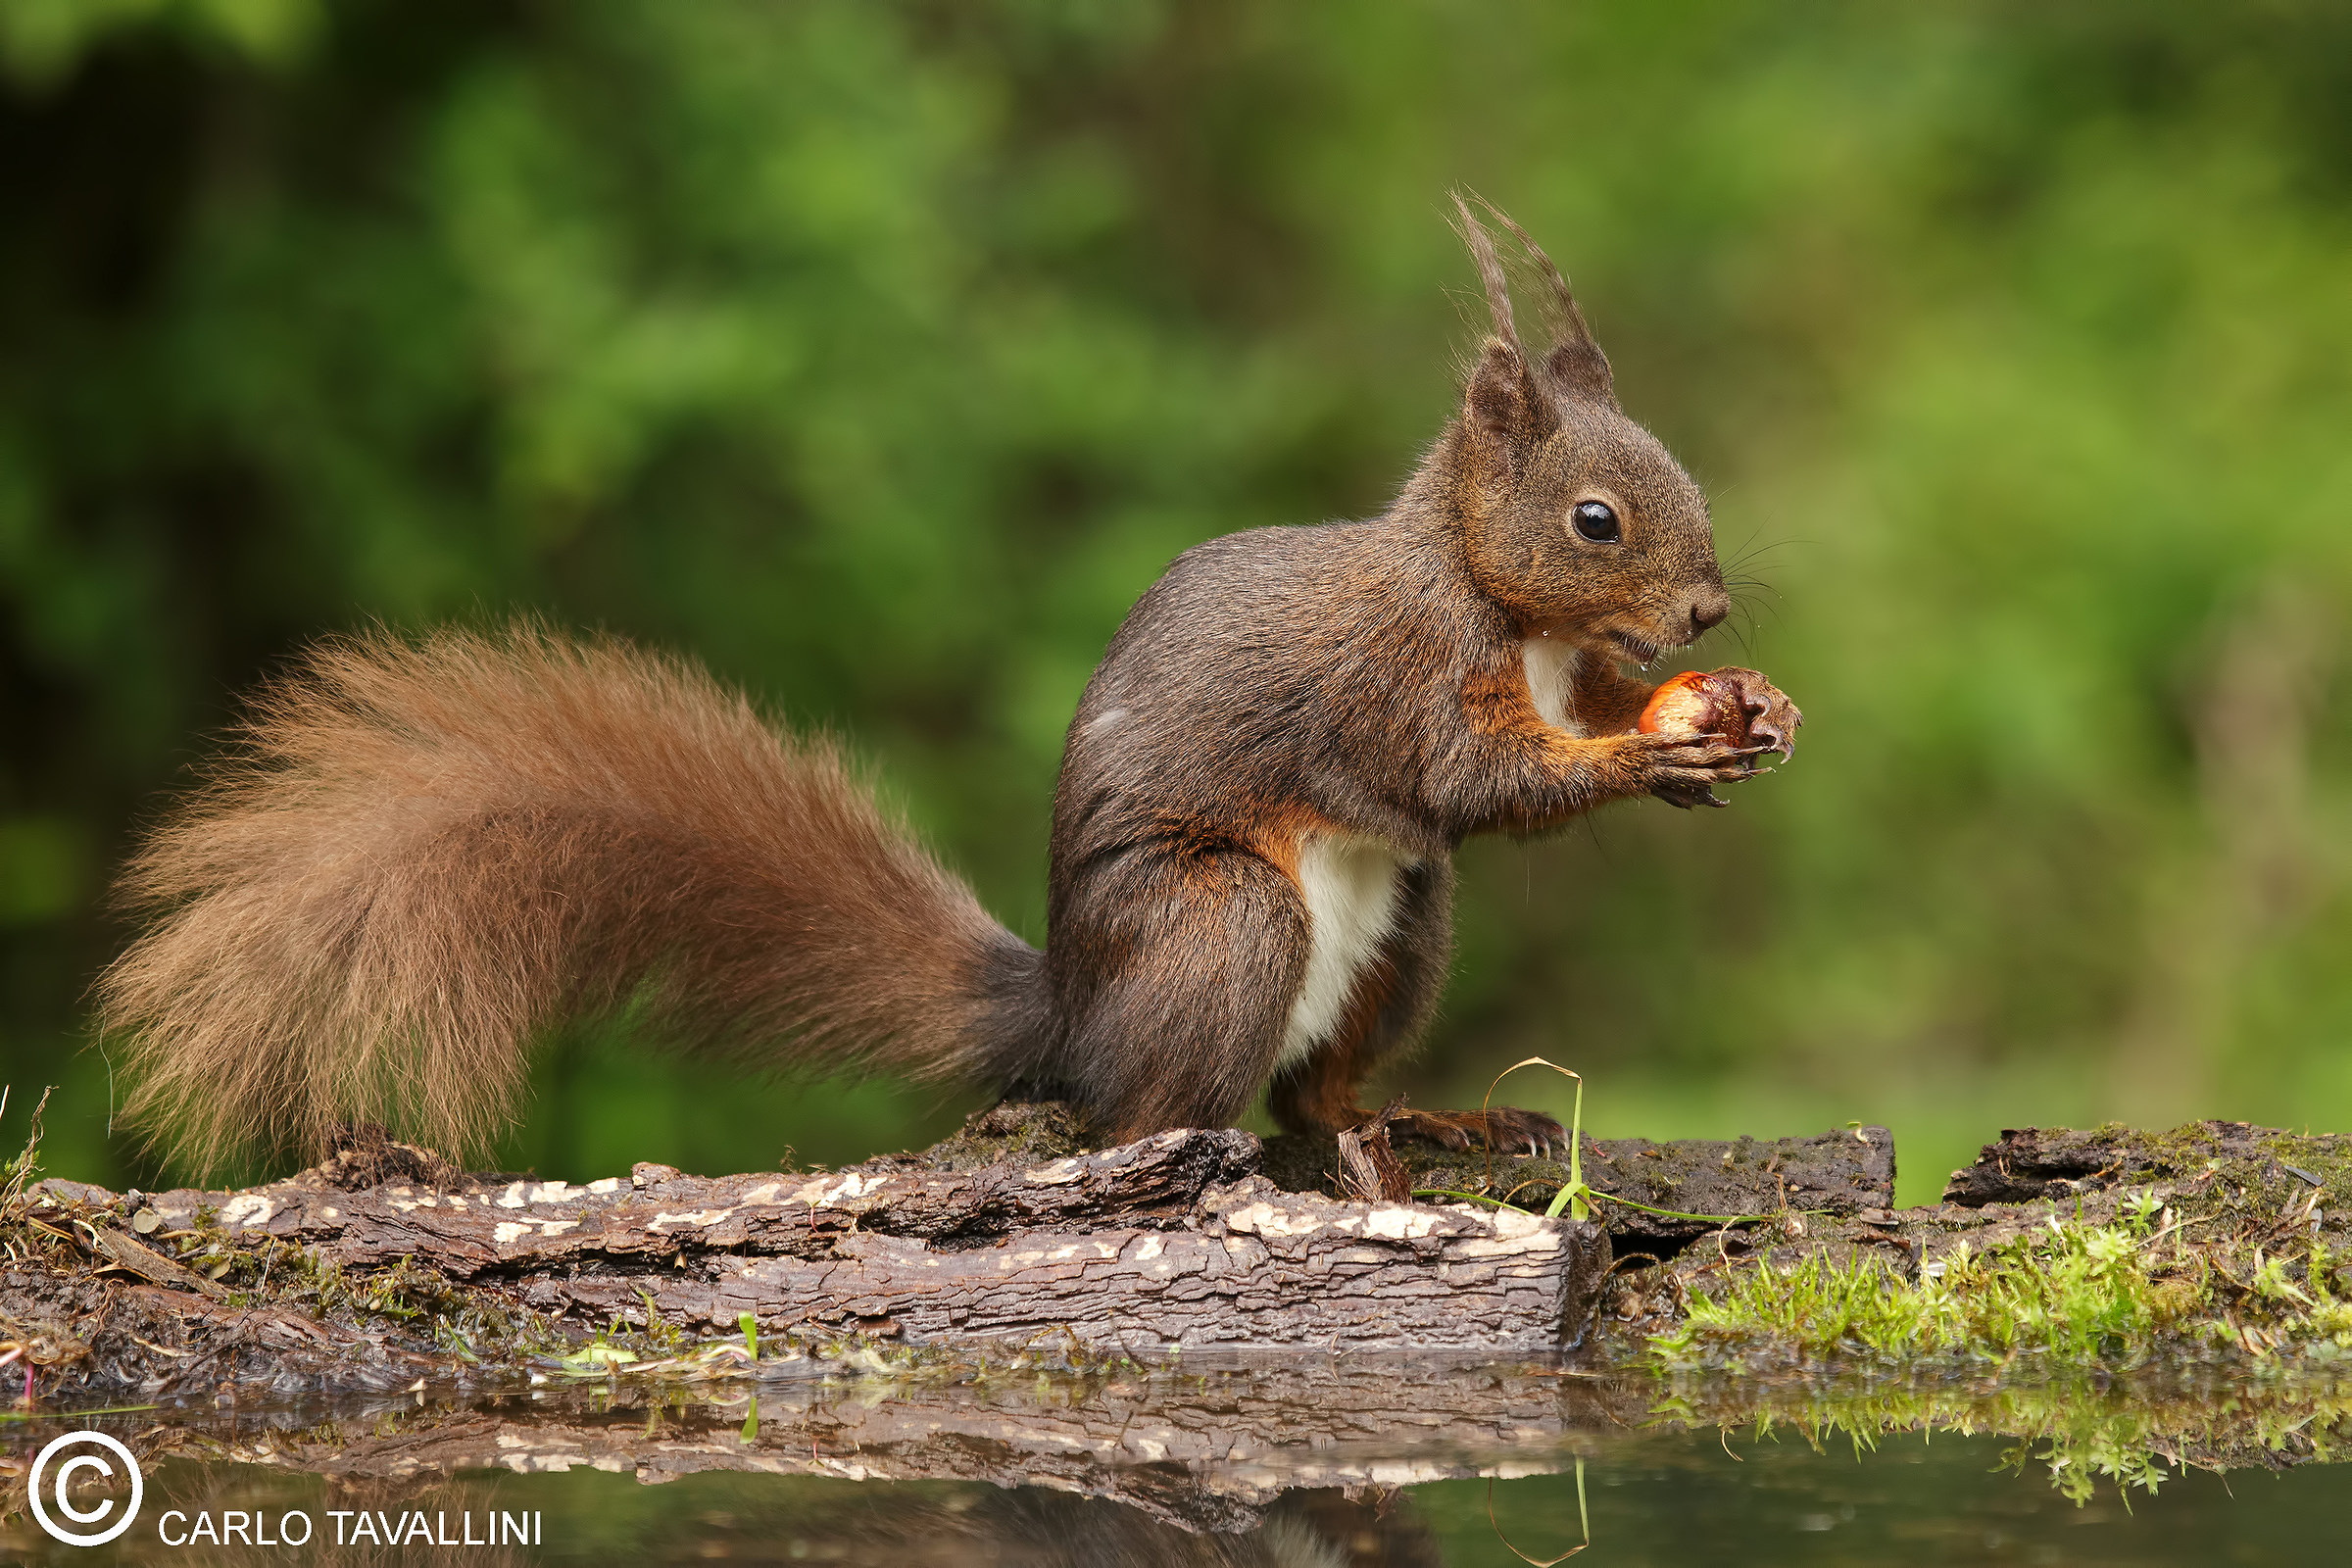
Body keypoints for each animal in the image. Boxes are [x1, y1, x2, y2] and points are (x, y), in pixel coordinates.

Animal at [96, 195, 1799, 1178]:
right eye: (1596, 520)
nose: (1709, 606)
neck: (1501, 606)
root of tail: (1070, 1017)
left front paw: (1746, 711)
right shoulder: (1400, 676)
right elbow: (1470, 775)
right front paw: (1656, 757)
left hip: (1406, 933)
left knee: (1314, 1095)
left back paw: (1411, 1120)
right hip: (1221, 921)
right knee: (1150, 1112)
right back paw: (1185, 1146)